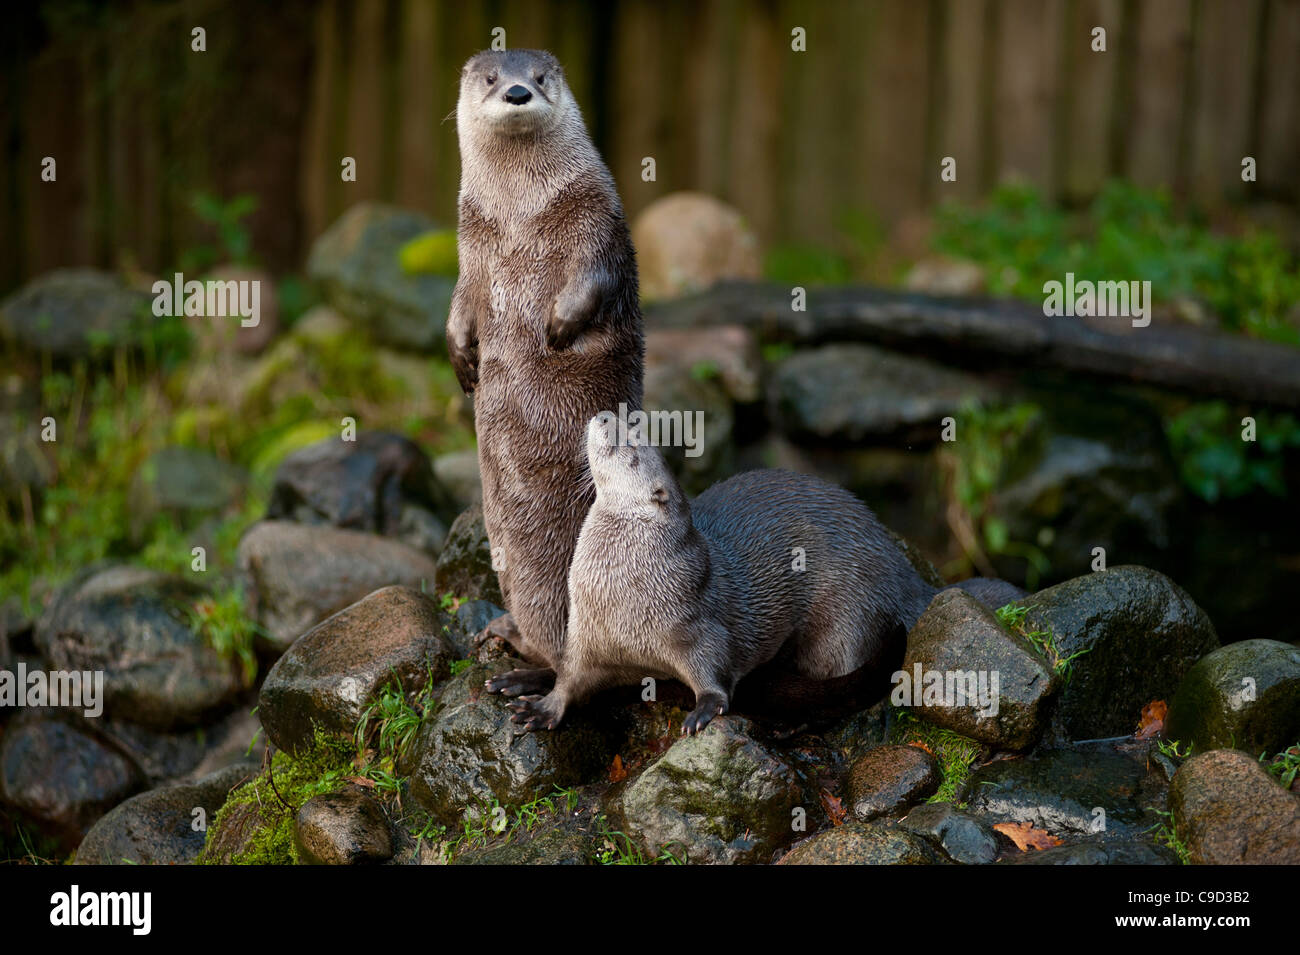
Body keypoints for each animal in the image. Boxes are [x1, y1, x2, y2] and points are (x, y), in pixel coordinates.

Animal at [447, 50, 643, 684]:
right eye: (490, 77)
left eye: (539, 77)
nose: (515, 92)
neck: (519, 217)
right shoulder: (470, 247)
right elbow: (460, 302)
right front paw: (462, 356)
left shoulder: (595, 215)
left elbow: (595, 276)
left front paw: (558, 327)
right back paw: (503, 634)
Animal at [504, 414, 1024, 735]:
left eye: (629, 447)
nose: (602, 416)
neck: (624, 595)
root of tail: (903, 572)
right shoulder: (586, 634)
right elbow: (571, 677)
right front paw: (543, 708)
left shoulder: (694, 624)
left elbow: (714, 671)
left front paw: (703, 711)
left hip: (847, 619)